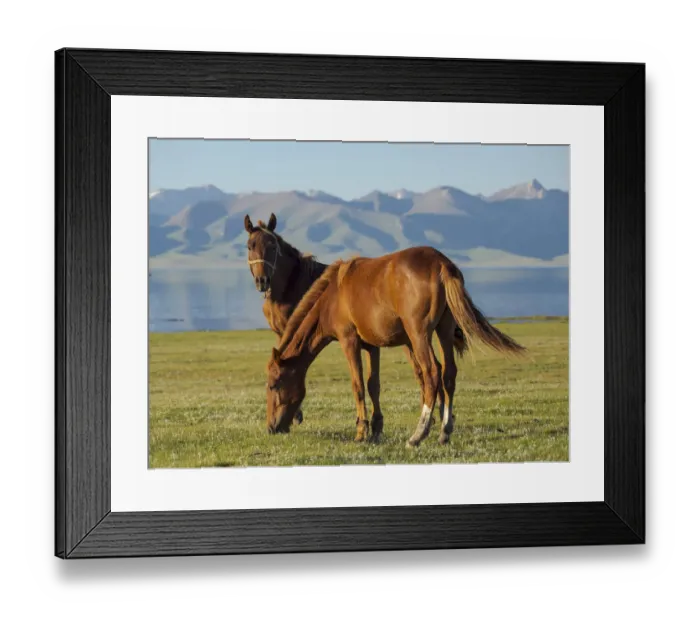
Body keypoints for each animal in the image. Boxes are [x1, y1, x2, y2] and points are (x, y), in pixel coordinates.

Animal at [265, 246, 526, 448]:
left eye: (273, 385)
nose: (271, 428)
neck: (332, 296)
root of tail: (441, 264)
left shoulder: (350, 341)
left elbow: (358, 385)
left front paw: (361, 432)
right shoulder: (372, 347)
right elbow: (374, 385)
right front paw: (377, 429)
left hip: (419, 334)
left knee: (432, 372)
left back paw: (418, 435)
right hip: (443, 330)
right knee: (448, 373)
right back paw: (444, 431)